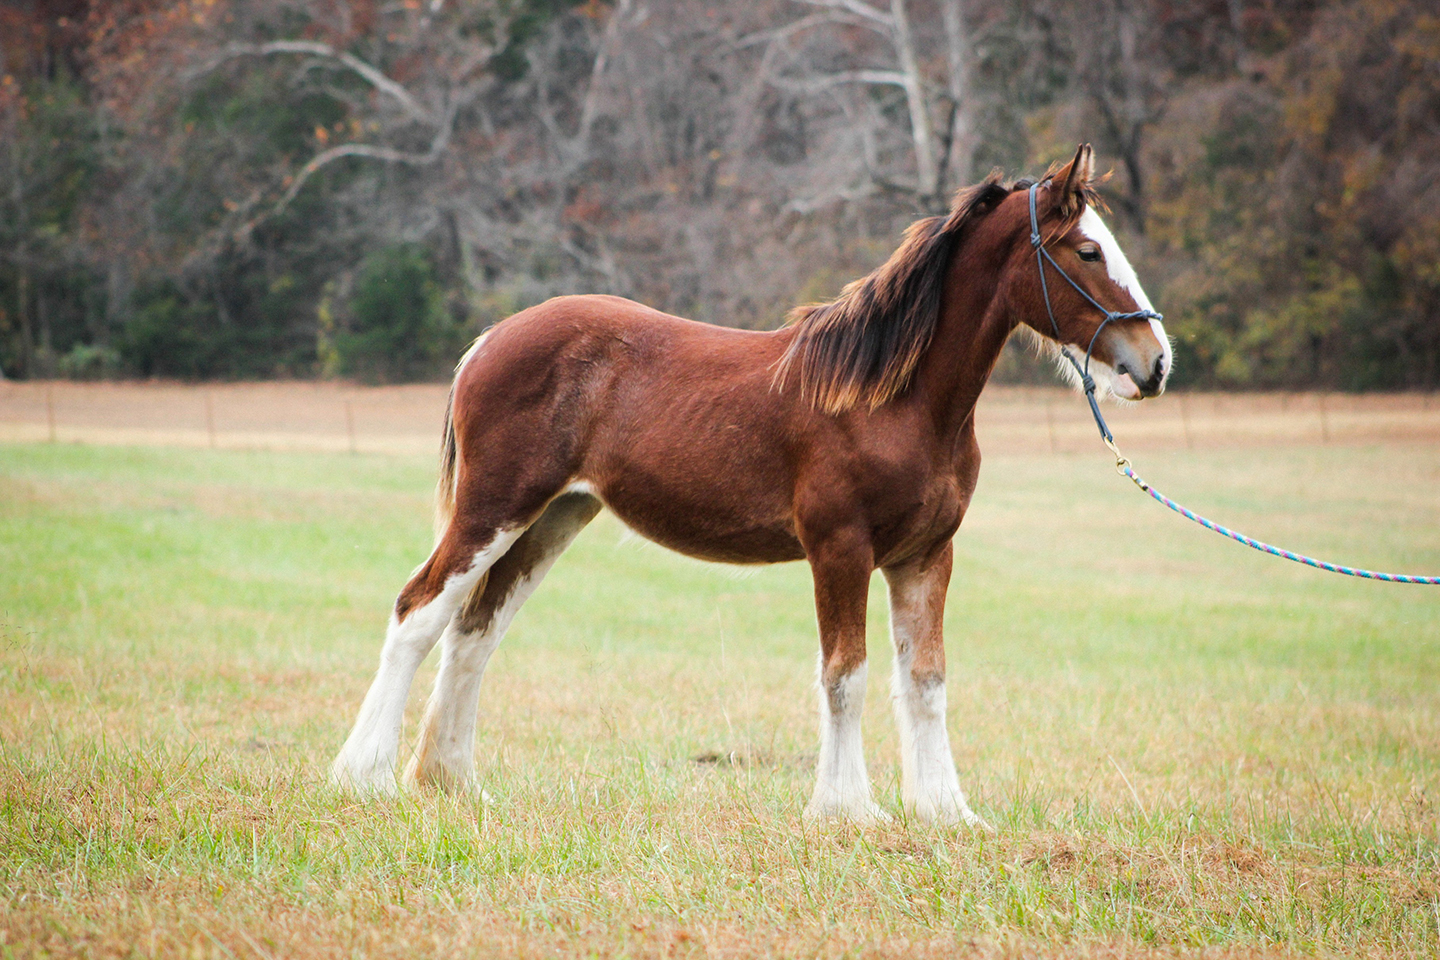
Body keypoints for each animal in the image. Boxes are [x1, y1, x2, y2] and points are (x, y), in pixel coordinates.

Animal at [330, 143, 1171, 824]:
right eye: (1087, 250)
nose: (1154, 363)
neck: (893, 398)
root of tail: (489, 341)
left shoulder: (926, 557)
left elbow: (925, 679)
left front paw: (945, 812)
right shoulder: (840, 550)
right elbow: (846, 675)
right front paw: (846, 809)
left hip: (553, 518)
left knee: (476, 631)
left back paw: (451, 782)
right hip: (494, 509)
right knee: (418, 614)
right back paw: (363, 777)